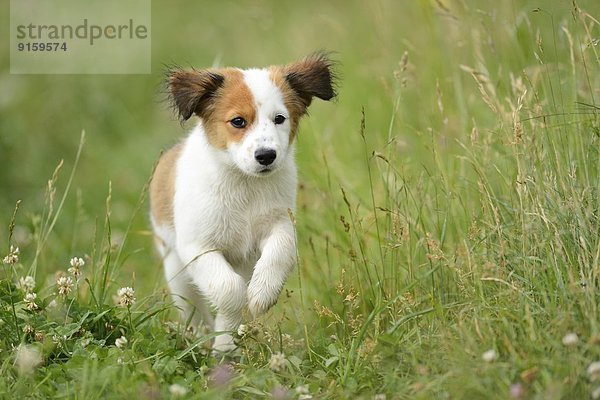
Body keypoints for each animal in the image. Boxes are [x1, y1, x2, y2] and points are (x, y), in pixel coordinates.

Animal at [150, 53, 338, 350]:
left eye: (279, 119)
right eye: (238, 121)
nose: (266, 155)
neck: (244, 186)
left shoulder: (280, 224)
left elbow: (278, 254)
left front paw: (262, 294)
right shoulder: (197, 247)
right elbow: (229, 290)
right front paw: (224, 342)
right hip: (176, 269)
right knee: (193, 307)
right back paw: (202, 337)